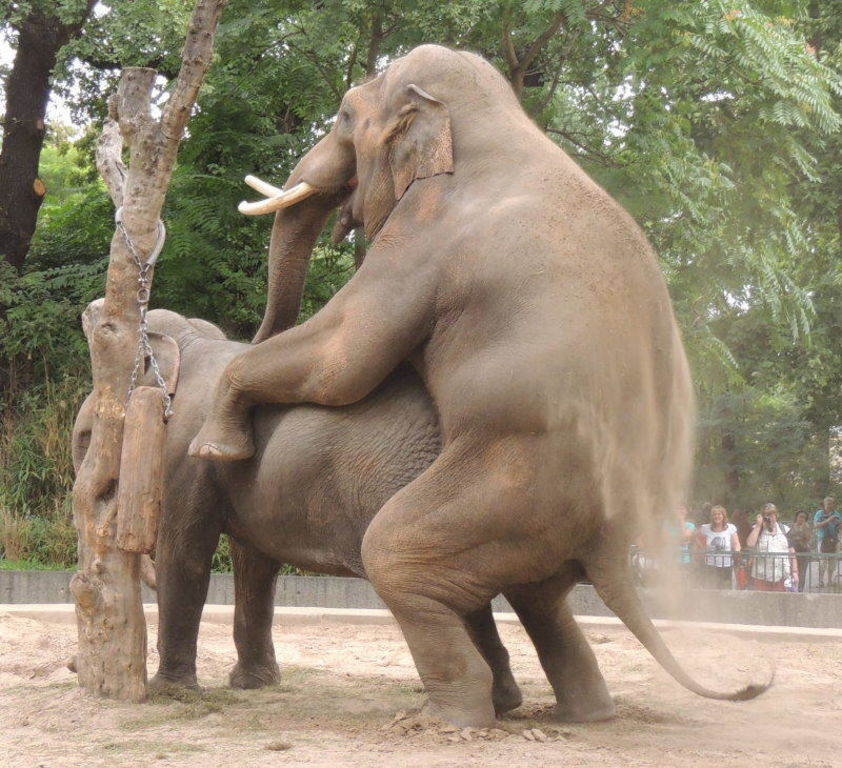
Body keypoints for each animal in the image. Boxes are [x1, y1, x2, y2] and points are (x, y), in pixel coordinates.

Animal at [187, 44, 768, 726]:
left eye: (343, 116)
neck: (496, 122)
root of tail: (616, 544)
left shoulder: (424, 235)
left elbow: (345, 358)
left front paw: (213, 446)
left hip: (511, 487)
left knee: (398, 556)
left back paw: (444, 721)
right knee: (541, 598)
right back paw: (580, 716)